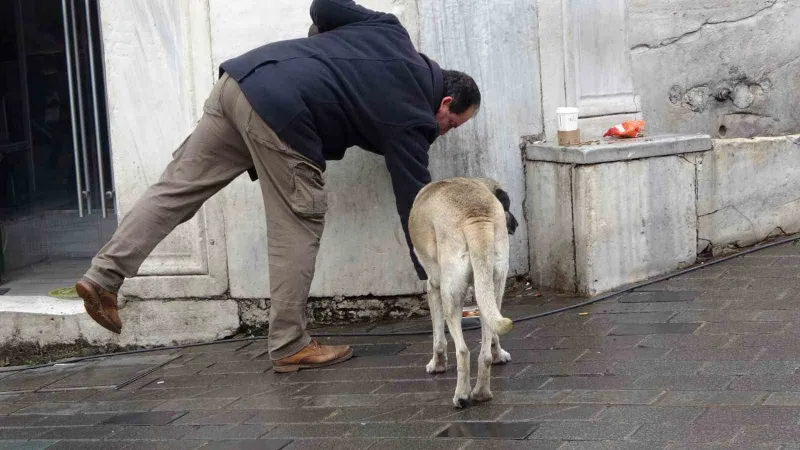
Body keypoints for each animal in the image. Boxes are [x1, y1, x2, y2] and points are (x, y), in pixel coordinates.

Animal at [410, 176, 516, 408]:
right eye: (508, 207)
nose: (515, 223)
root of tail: (475, 216)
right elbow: (493, 336)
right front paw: (500, 354)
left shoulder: (433, 287)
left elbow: (438, 337)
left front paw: (437, 364)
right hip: (494, 285)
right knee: (485, 351)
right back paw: (481, 392)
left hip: (450, 294)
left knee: (463, 350)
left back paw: (462, 395)